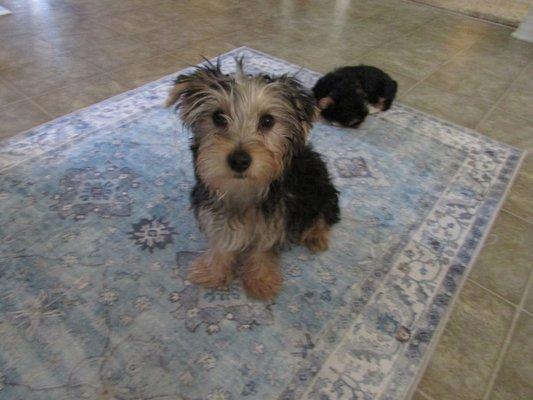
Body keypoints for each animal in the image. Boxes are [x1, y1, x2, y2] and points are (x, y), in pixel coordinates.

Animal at [166, 60, 338, 300]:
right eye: (218, 117)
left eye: (267, 121)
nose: (239, 160)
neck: (243, 188)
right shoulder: (214, 208)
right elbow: (221, 237)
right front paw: (213, 270)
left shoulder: (277, 215)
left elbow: (263, 247)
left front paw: (260, 279)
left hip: (321, 187)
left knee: (324, 213)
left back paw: (316, 236)